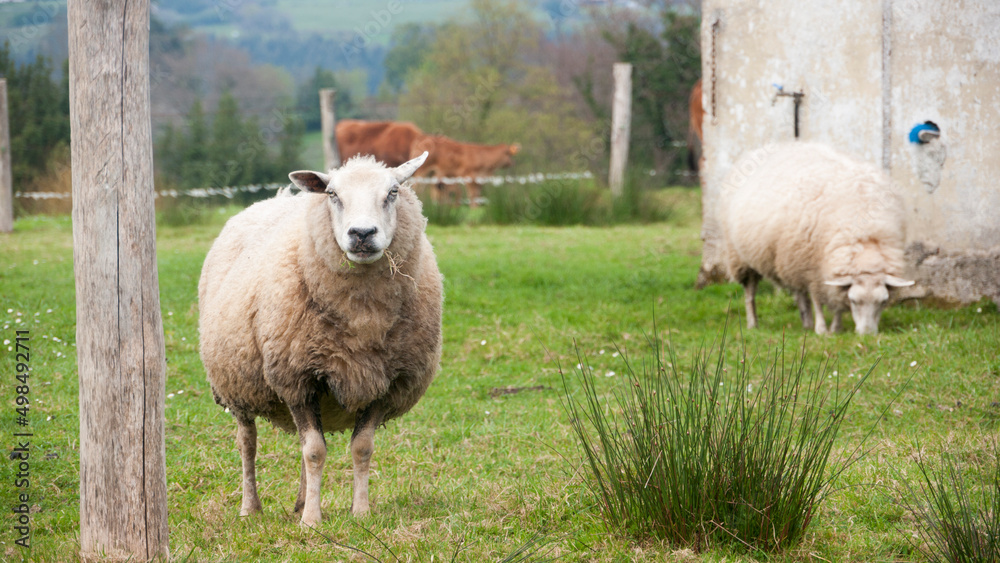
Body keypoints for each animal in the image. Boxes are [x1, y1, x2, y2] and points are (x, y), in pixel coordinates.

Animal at [198, 152, 443, 526]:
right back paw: (250, 506)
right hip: (235, 383)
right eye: (333, 195)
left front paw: (360, 512)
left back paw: (299, 501)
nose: (361, 233)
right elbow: (314, 452)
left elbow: (360, 448)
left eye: (393, 192)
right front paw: (312, 521)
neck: (363, 318)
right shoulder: (296, 378)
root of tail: (276, 198)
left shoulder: (384, 382)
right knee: (248, 442)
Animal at [719, 142, 914, 335]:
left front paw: (836, 328)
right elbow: (817, 300)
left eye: (883, 302)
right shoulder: (812, 268)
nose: (867, 334)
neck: (866, 239)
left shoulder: (823, 268)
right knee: (750, 293)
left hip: (791, 258)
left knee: (799, 293)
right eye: (853, 301)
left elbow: (834, 303)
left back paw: (806, 322)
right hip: (742, 258)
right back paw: (753, 323)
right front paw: (821, 329)